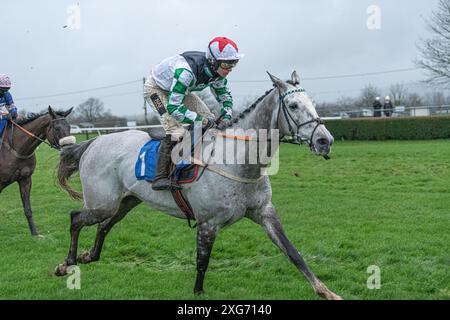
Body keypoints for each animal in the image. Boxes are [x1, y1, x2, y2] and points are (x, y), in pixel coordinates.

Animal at [0, 105, 73, 235]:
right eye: (57, 128)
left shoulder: (25, 179)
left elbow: (28, 209)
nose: (70, 150)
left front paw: (35, 233)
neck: (16, 149)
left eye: (69, 127)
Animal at [53, 72, 342, 300]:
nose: (325, 141)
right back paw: (67, 264)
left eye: (313, 104)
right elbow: (202, 261)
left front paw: (325, 291)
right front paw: (198, 292)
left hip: (125, 201)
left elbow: (293, 252)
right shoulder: (208, 223)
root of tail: (93, 142)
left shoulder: (265, 213)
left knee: (104, 226)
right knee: (76, 218)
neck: (238, 160)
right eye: (293, 105)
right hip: (102, 202)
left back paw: (89, 256)